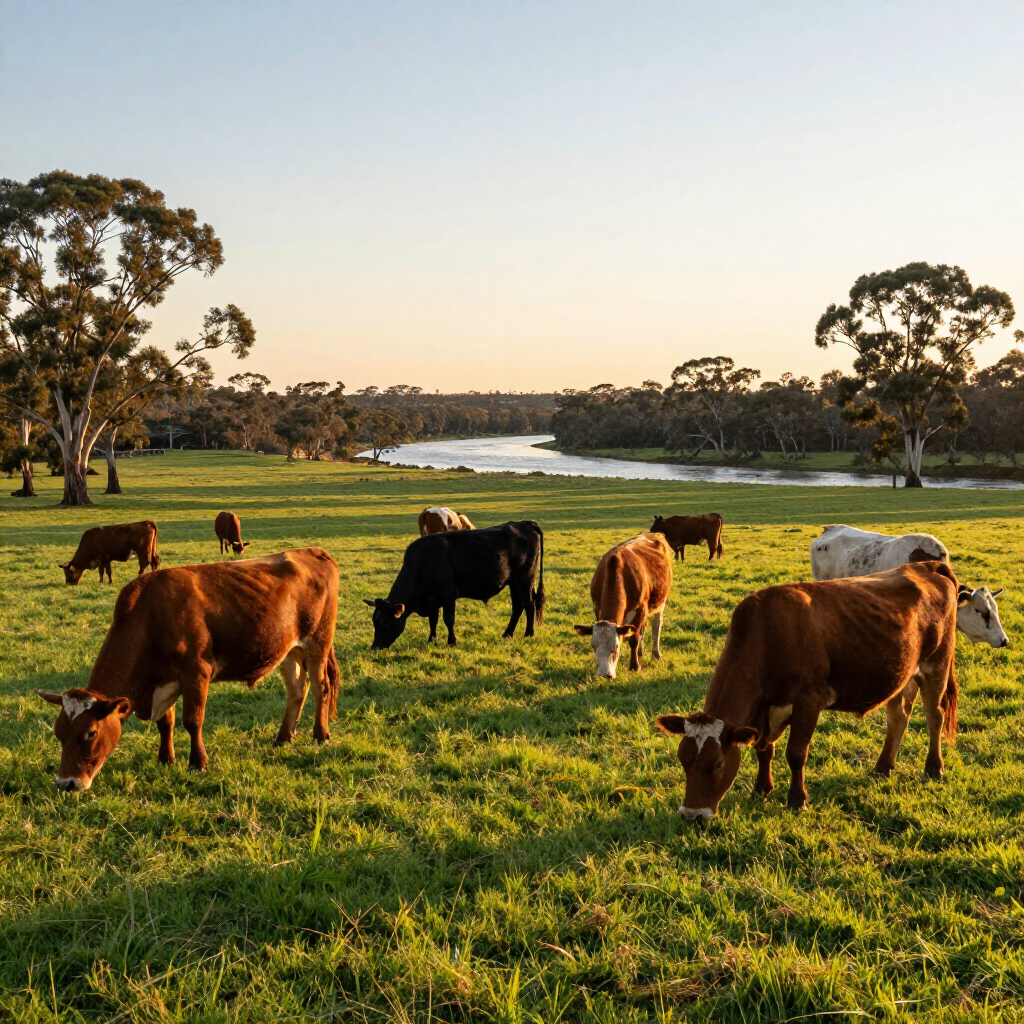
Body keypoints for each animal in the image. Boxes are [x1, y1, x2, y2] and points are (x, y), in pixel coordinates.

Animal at [36, 548, 340, 791]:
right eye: (59, 732)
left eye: (90, 733)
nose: (66, 783)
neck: (152, 616)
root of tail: (312, 551)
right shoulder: (162, 679)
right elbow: (166, 723)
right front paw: (165, 759)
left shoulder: (196, 672)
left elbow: (192, 721)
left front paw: (197, 763)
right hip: (288, 650)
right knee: (297, 690)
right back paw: (283, 737)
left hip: (317, 642)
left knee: (321, 687)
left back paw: (320, 735)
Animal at [365, 521, 544, 648]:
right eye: (374, 622)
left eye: (384, 623)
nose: (375, 647)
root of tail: (524, 523)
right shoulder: (433, 599)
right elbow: (433, 619)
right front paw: (432, 640)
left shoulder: (448, 595)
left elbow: (448, 619)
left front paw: (452, 641)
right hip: (513, 582)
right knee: (518, 606)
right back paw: (508, 633)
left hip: (525, 578)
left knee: (529, 603)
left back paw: (529, 633)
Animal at [573, 532, 672, 678]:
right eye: (593, 646)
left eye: (615, 647)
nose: (604, 674)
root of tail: (652, 533)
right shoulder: (597, 607)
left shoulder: (640, 610)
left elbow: (633, 639)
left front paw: (634, 666)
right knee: (642, 629)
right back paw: (641, 652)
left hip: (661, 601)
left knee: (656, 624)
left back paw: (656, 653)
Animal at [655, 561, 959, 820]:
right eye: (683, 759)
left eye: (717, 764)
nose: (692, 815)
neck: (767, 634)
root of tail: (927, 565)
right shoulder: (764, 708)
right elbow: (764, 749)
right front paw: (761, 790)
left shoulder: (809, 701)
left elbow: (795, 754)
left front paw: (796, 800)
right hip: (902, 674)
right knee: (898, 717)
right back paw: (883, 768)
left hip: (937, 664)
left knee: (935, 716)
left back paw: (934, 768)